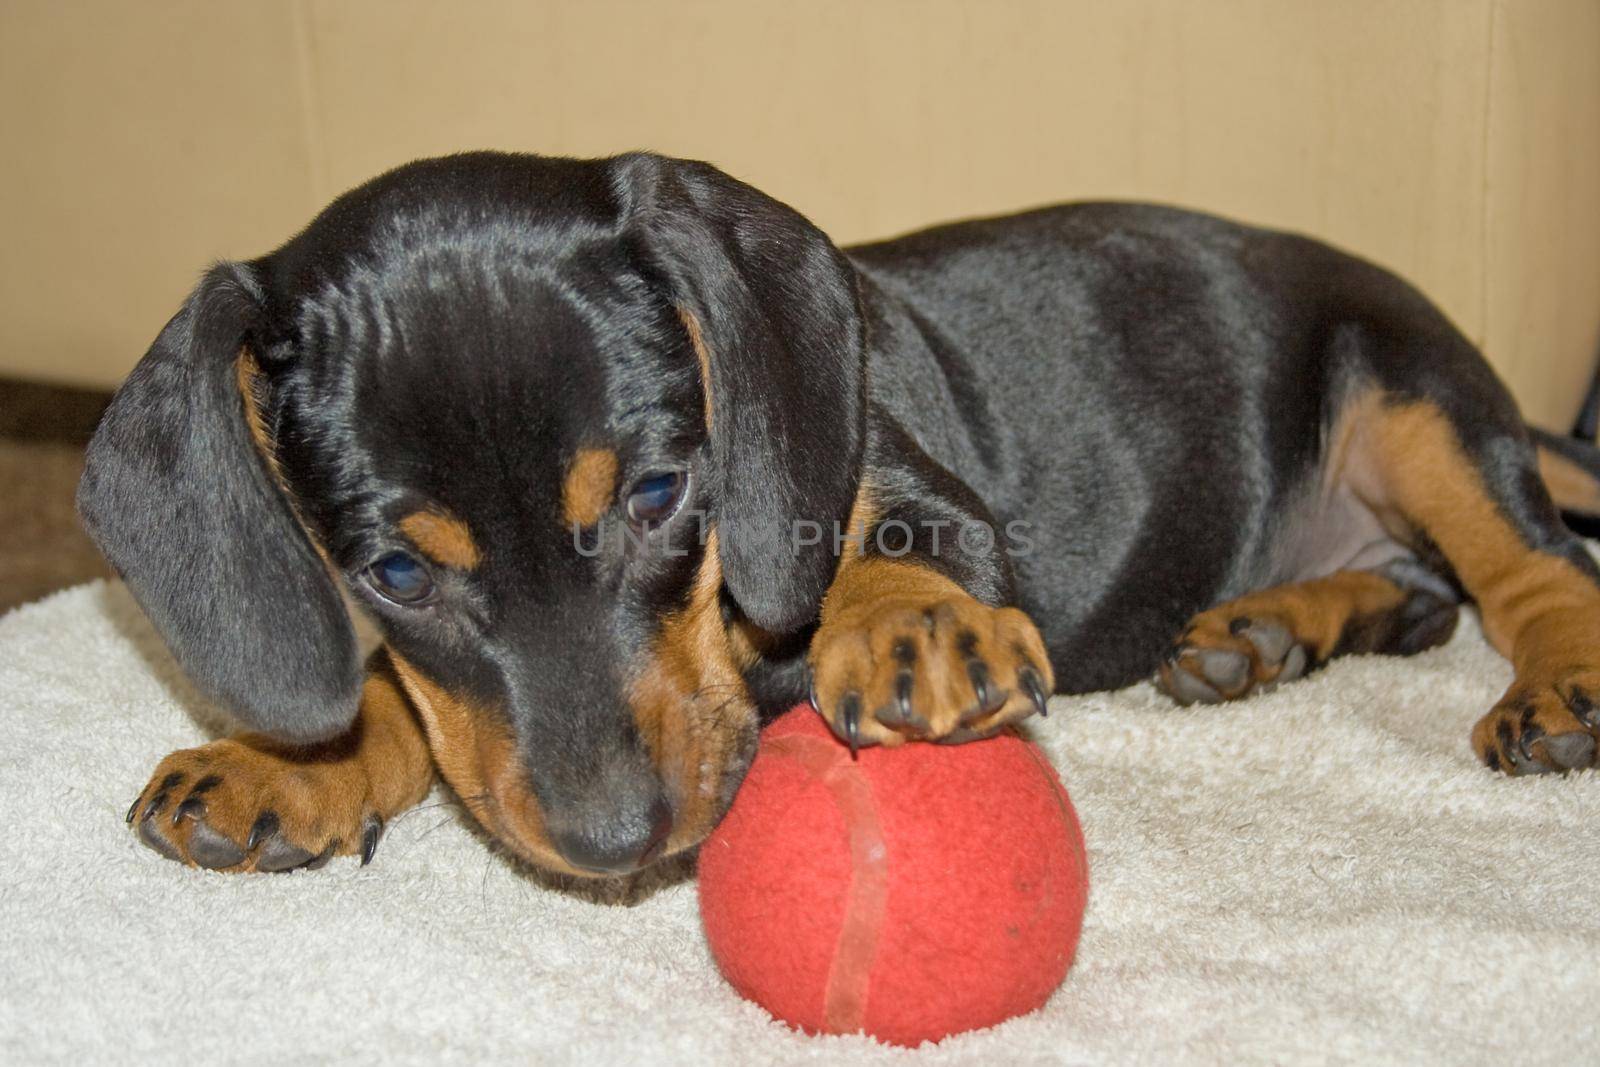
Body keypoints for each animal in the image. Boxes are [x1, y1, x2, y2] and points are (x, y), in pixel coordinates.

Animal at [81, 147, 1600, 876]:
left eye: (659, 492)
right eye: (394, 571)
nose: (614, 842)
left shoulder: (910, 489)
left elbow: (887, 551)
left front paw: (912, 624)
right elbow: (409, 699)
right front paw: (289, 763)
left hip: (1406, 398)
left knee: (1530, 567)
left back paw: (1556, 687)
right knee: (1419, 594)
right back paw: (1266, 629)